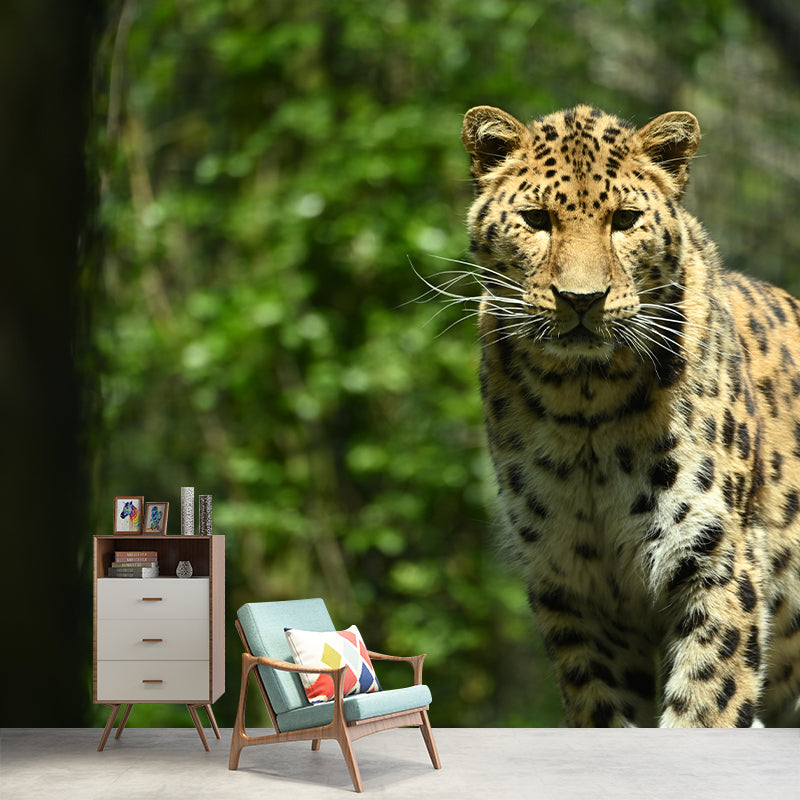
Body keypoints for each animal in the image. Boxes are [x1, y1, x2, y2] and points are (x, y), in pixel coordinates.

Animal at [454, 104, 800, 727]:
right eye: (536, 220)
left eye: (625, 220)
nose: (581, 299)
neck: (584, 401)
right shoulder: (576, 586)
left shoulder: (720, 561)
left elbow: (707, 703)